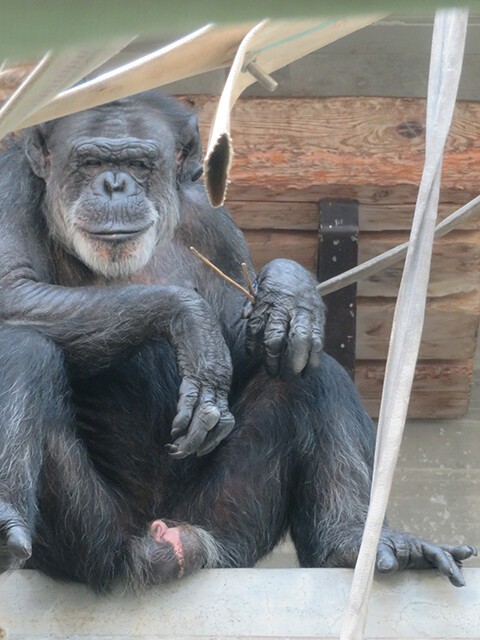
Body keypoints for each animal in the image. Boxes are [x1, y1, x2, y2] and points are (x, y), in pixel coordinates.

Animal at [0, 90, 474, 592]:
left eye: (138, 163)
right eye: (89, 161)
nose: (114, 184)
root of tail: (158, 548)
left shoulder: (215, 224)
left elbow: (245, 339)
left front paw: (290, 291)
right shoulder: (10, 183)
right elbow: (13, 288)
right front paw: (192, 326)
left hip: (228, 523)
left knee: (308, 370)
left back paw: (358, 543)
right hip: (90, 540)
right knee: (24, 347)